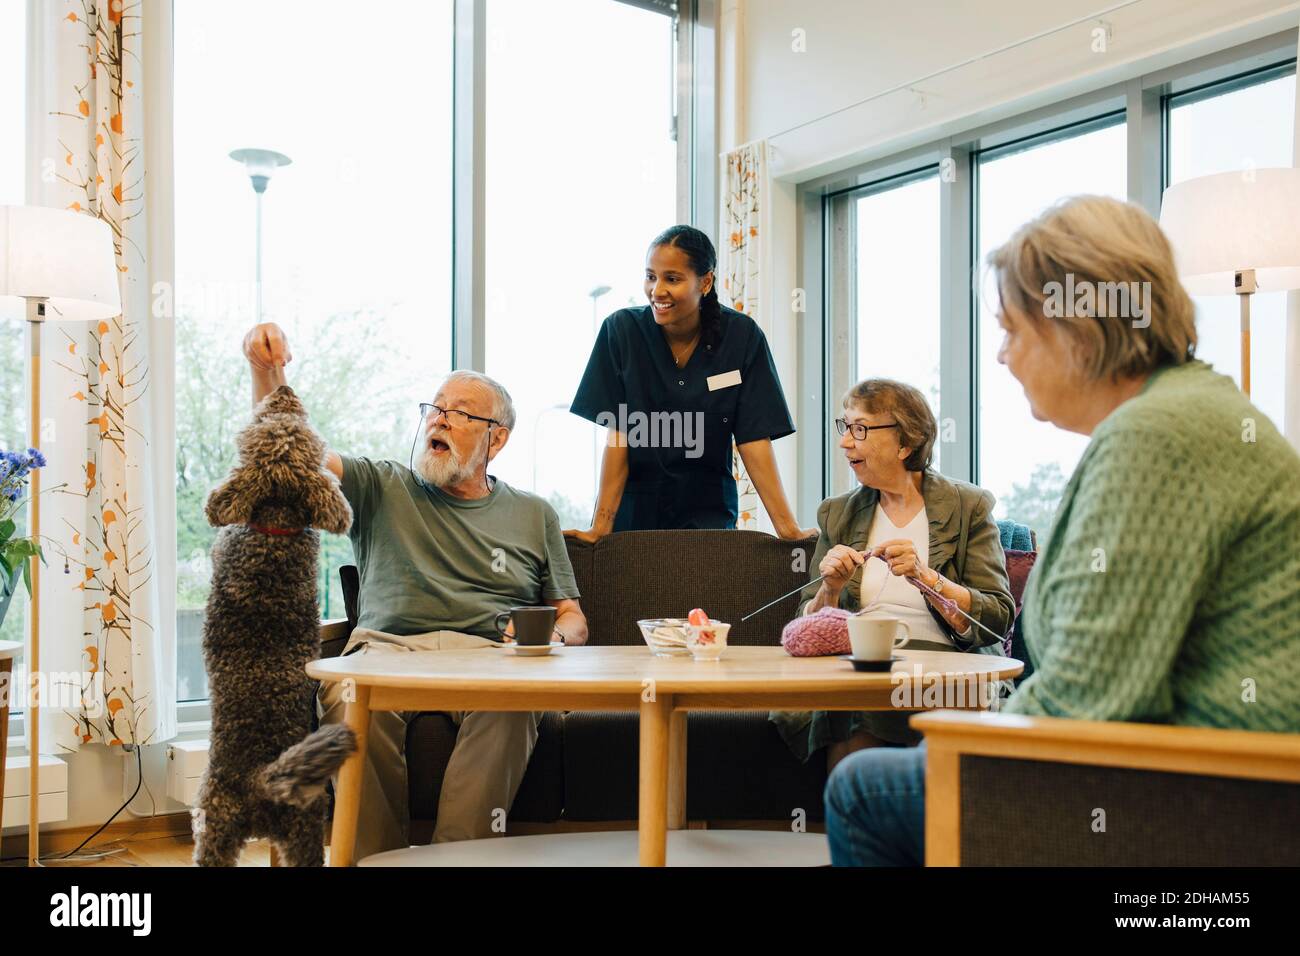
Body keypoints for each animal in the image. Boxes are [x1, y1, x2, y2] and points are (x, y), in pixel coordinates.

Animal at [192, 382, 356, 868]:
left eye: (276, 422)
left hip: (213, 826)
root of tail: (262, 776)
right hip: (303, 833)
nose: (283, 387)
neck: (275, 523)